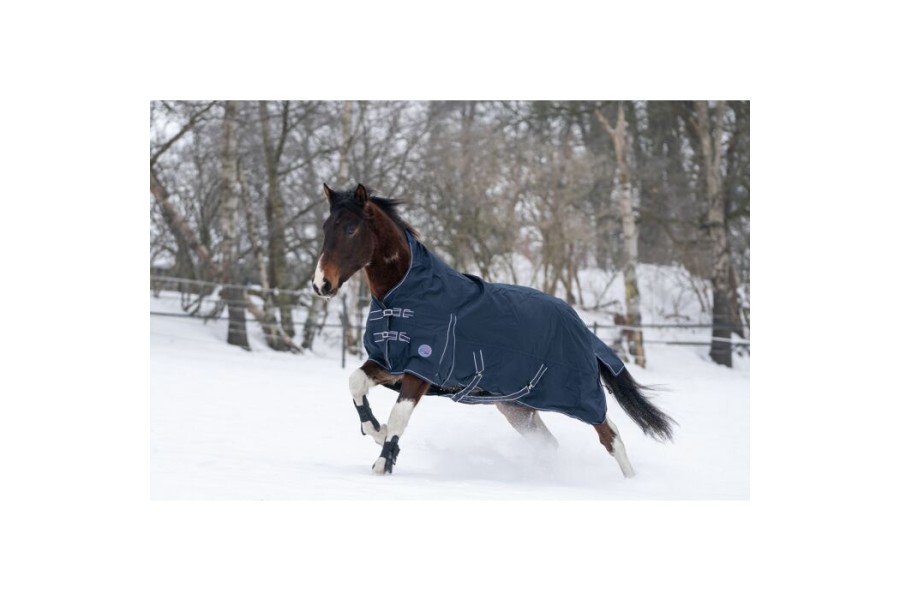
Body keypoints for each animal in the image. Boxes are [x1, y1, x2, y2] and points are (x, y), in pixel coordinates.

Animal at [313, 183, 675, 477]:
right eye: (326, 227)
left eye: (351, 229)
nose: (321, 285)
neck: (403, 296)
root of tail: (582, 328)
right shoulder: (392, 365)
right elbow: (356, 382)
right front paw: (375, 429)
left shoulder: (421, 370)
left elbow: (400, 416)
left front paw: (383, 464)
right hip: (517, 407)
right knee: (550, 443)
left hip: (579, 397)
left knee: (610, 435)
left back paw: (631, 484)